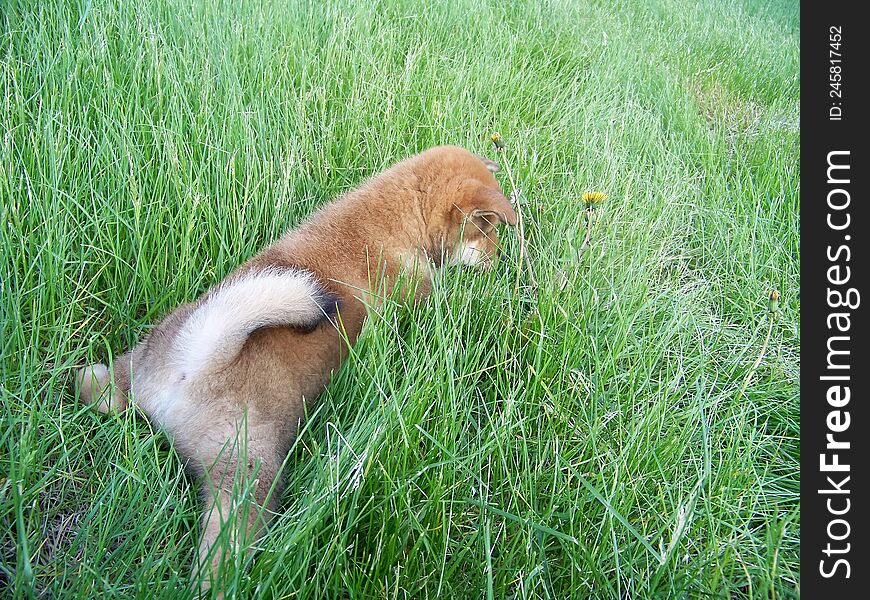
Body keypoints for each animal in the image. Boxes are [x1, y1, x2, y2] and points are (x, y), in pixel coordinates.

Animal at [76, 146, 516, 592]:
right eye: (488, 229)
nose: (500, 263)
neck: (397, 219)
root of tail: (199, 357)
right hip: (249, 473)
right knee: (223, 549)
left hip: (136, 367)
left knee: (96, 389)